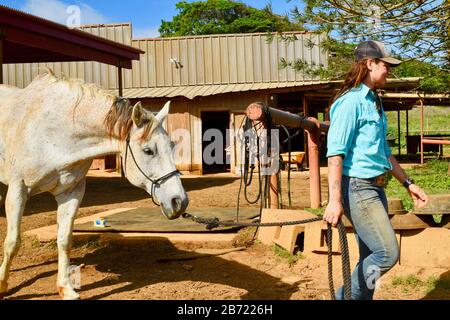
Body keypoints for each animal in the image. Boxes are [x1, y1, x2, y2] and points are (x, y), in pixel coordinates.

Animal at [0, 70, 188, 300]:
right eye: (148, 150)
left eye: (171, 145)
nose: (179, 201)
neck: (52, 133)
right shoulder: (18, 190)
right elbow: (12, 242)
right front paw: (2, 285)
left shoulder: (71, 193)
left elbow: (64, 240)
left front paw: (66, 288)